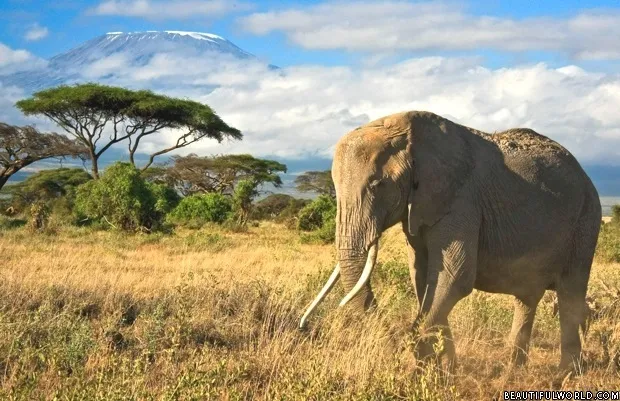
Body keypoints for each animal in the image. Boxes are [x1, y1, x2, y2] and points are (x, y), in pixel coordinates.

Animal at [300, 110, 600, 372]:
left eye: (377, 184)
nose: (305, 327)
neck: (408, 132)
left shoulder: (461, 200)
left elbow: (454, 278)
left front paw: (420, 372)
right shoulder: (421, 208)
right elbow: (423, 279)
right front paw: (446, 371)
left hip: (587, 220)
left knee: (570, 294)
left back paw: (565, 375)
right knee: (527, 297)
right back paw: (514, 371)